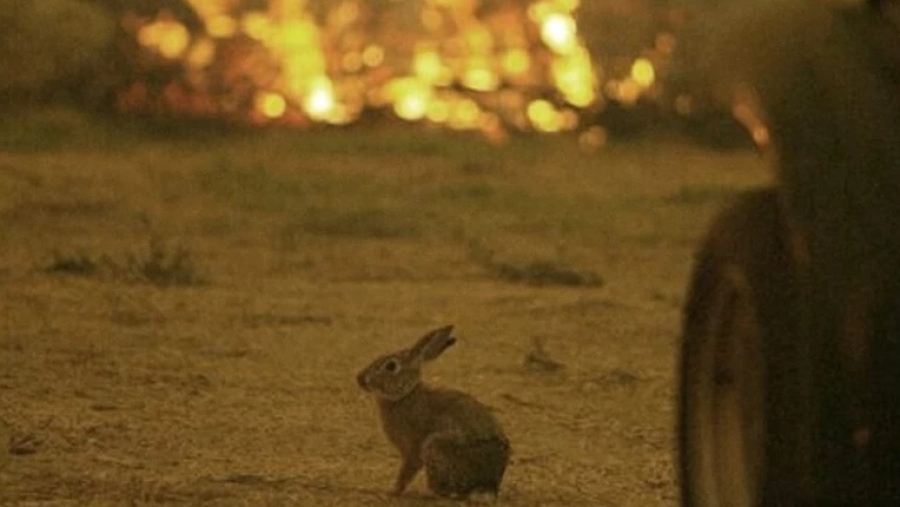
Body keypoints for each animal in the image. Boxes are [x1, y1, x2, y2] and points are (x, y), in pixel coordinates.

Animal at [356, 326, 510, 500]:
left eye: (391, 366)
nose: (360, 379)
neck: (405, 394)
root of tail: (488, 485)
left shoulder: (412, 450)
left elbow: (406, 472)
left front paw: (391, 492)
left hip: (435, 445)